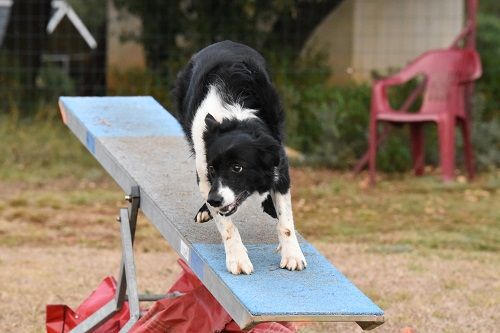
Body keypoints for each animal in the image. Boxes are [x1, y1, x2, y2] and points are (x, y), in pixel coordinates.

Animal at [176, 40, 308, 274]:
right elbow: (226, 225)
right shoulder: (204, 173)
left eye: (237, 168)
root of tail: (224, 42)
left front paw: (292, 255)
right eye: (212, 169)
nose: (214, 200)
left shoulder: (279, 164)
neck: (235, 116)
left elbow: (286, 221)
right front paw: (237, 258)